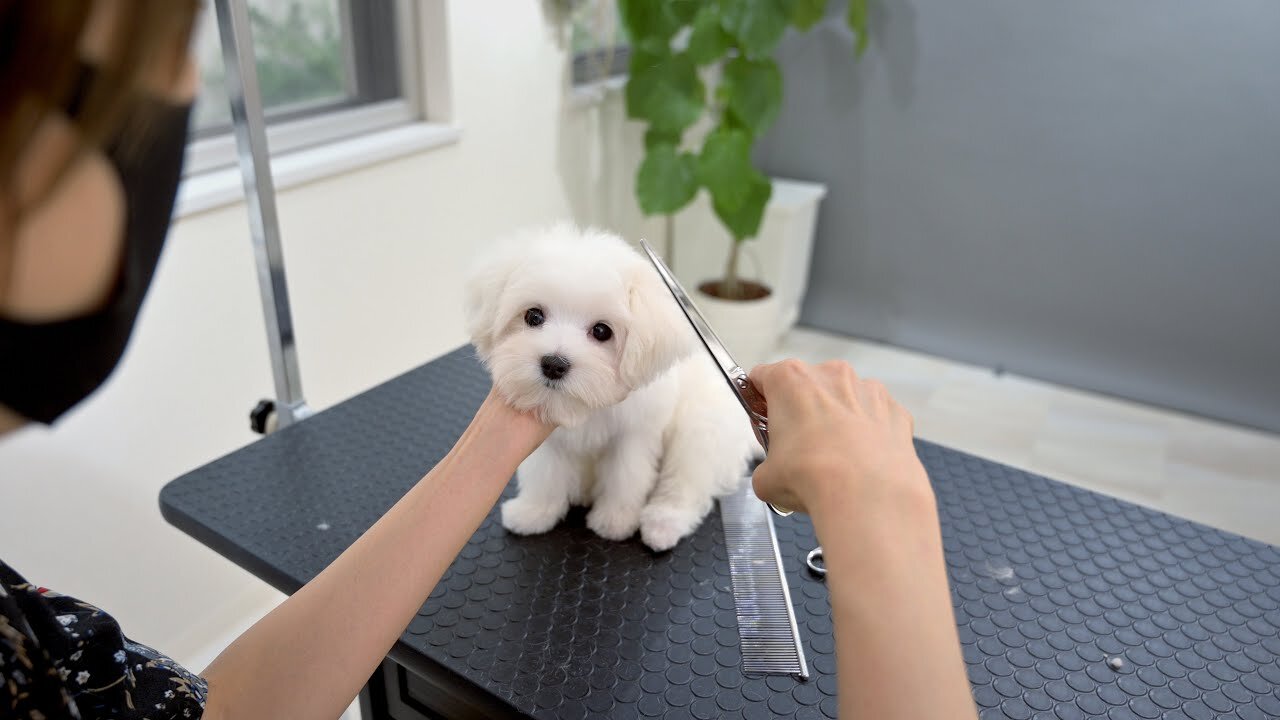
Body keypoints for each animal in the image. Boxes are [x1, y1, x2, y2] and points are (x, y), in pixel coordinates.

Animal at [465, 221, 752, 545]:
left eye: (602, 331)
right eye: (533, 316)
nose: (553, 364)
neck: (585, 407)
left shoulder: (633, 436)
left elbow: (625, 478)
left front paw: (615, 521)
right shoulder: (550, 443)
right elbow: (545, 476)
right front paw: (534, 512)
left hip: (700, 430)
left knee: (686, 481)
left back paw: (664, 523)